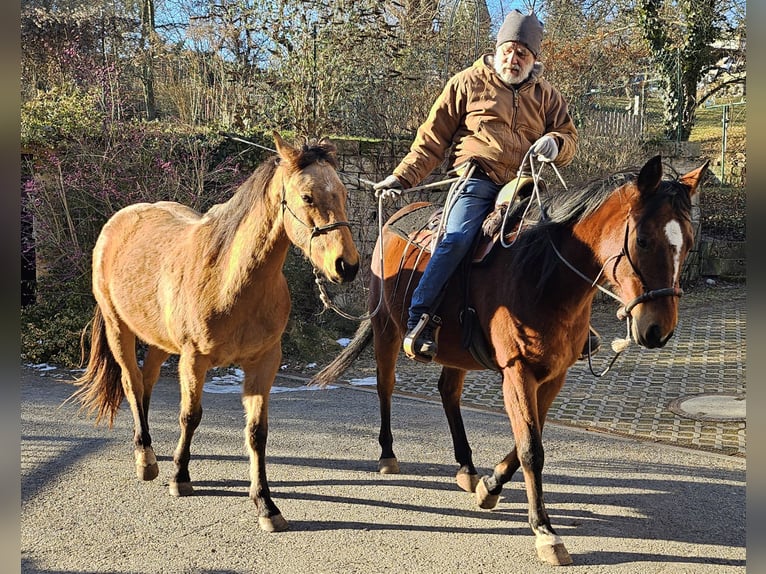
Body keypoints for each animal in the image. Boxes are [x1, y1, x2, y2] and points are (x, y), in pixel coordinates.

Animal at [70, 132, 360, 533]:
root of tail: (118, 221)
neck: (229, 279)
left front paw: (265, 504)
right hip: (119, 329)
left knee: (145, 383)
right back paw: (146, 458)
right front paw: (180, 478)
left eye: (344, 194)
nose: (346, 266)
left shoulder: (263, 363)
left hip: (160, 342)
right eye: (307, 197)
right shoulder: (194, 360)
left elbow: (256, 433)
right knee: (131, 382)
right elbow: (190, 416)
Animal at [311, 155, 708, 564]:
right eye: (643, 240)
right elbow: (532, 448)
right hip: (386, 326)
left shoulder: (554, 375)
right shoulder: (518, 372)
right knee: (385, 385)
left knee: (448, 392)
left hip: (454, 350)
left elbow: (528, 439)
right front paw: (545, 531)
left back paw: (467, 466)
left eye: (689, 243)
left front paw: (490, 485)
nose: (658, 329)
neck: (542, 275)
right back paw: (388, 453)